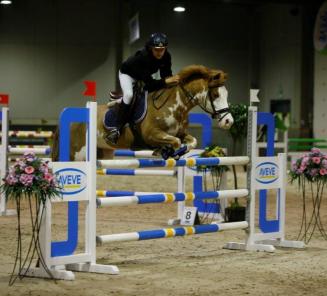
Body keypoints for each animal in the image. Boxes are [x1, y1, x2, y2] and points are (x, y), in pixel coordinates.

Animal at [51, 65, 233, 161]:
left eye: (226, 94)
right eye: (215, 95)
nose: (228, 121)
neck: (176, 105)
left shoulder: (180, 133)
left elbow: (191, 141)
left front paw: (172, 151)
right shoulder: (151, 134)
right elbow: (174, 142)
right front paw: (166, 151)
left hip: (103, 153)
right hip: (76, 154)